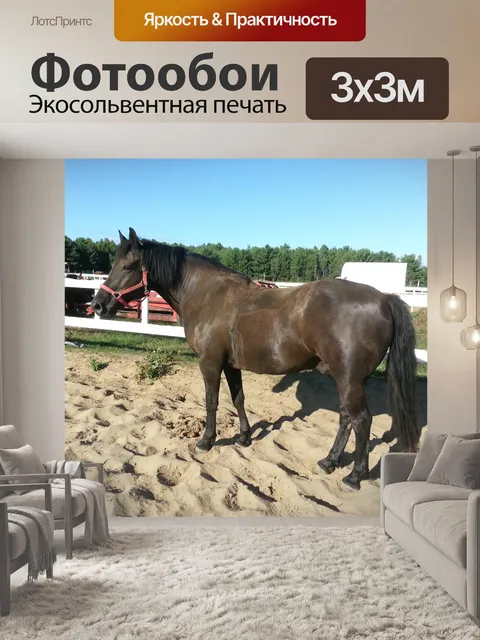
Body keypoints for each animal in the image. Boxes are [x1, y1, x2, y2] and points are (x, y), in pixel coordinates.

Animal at [90, 228, 419, 491]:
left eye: (128, 265)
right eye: (113, 264)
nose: (97, 304)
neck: (208, 295)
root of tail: (384, 298)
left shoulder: (210, 362)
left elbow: (211, 402)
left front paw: (206, 441)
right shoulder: (231, 365)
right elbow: (238, 398)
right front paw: (244, 437)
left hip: (349, 379)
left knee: (360, 420)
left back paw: (354, 476)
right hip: (346, 380)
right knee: (346, 418)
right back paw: (329, 461)